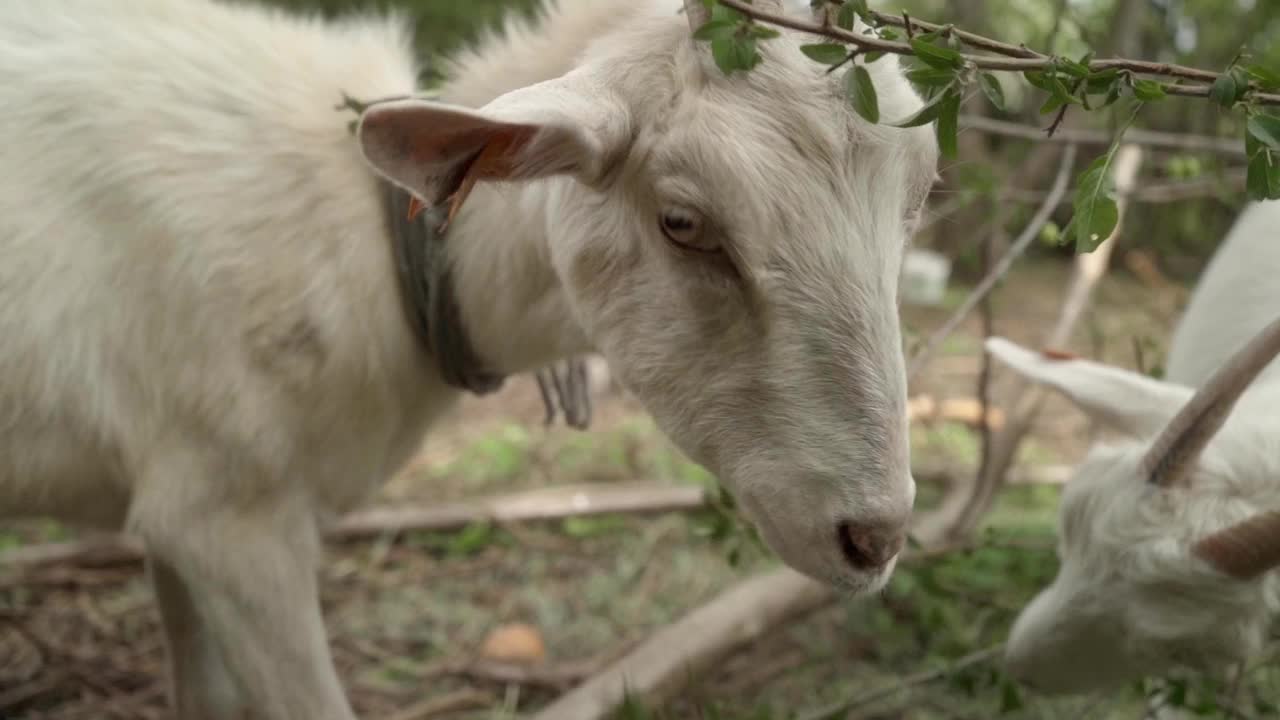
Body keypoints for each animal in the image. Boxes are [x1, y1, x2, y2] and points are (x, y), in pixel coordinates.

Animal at [0, 0, 942, 712]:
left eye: (922, 194)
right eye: (683, 222)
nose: (875, 536)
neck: (381, 253)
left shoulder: (174, 507)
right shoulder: (231, 515)